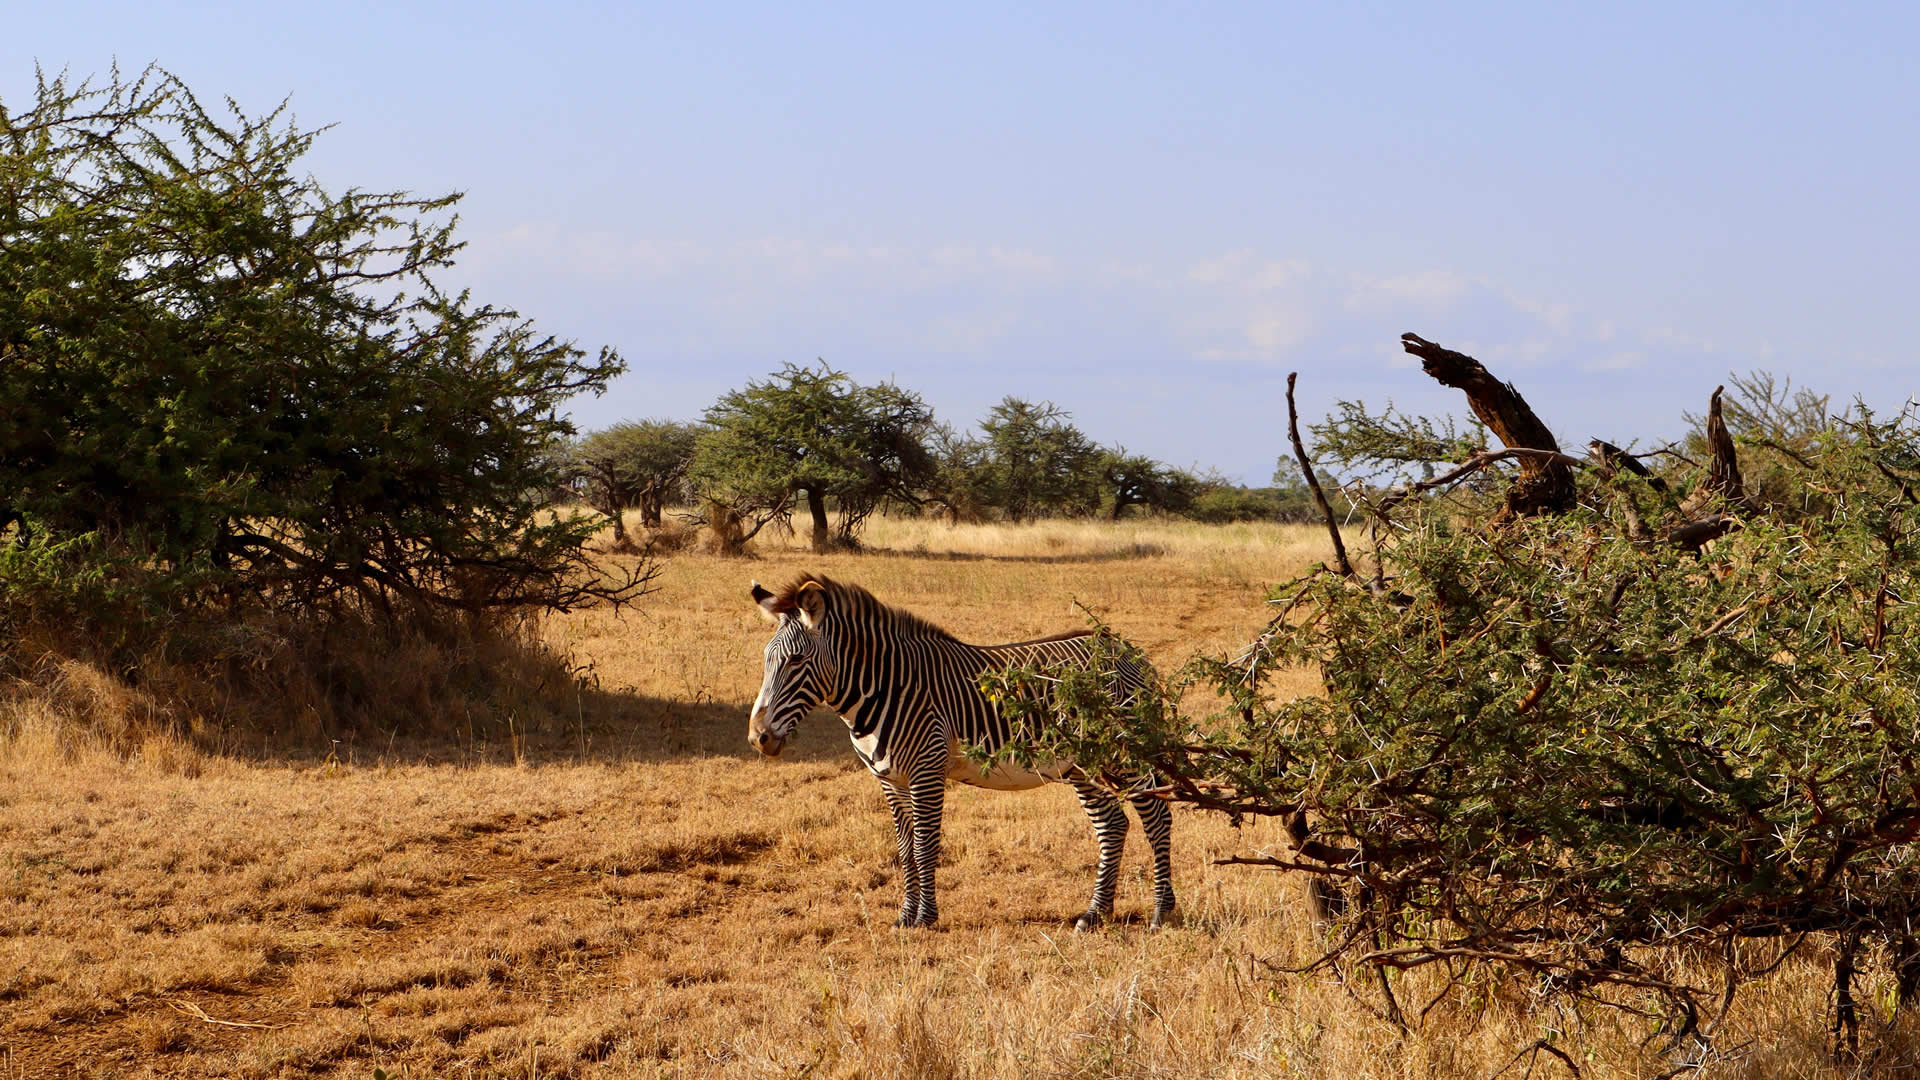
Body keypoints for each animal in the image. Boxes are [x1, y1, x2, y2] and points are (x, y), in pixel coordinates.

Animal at [747, 573, 1175, 931]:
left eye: (797, 660)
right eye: (766, 660)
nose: (758, 737)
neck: (884, 688)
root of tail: (1124, 648)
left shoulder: (927, 771)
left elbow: (925, 846)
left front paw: (926, 918)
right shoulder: (889, 779)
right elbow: (904, 850)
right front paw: (905, 916)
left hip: (1125, 755)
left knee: (1157, 818)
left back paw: (1161, 911)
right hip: (1083, 764)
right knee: (1112, 825)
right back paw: (1095, 913)